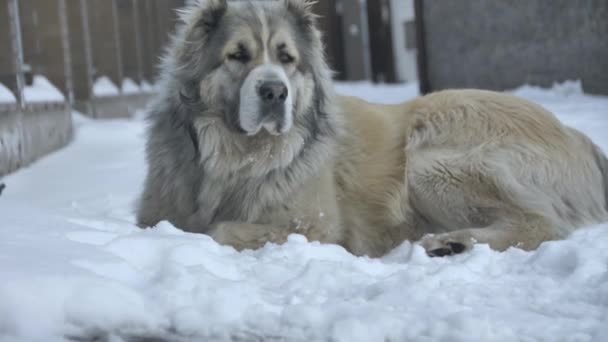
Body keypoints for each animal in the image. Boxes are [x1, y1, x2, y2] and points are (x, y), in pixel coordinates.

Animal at [138, 0, 608, 256]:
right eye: (237, 55)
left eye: (287, 58)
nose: (274, 92)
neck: (236, 156)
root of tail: (576, 136)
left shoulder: (314, 227)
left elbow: (219, 229)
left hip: (431, 162)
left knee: (542, 222)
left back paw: (452, 242)